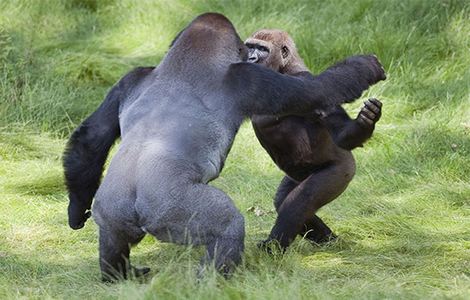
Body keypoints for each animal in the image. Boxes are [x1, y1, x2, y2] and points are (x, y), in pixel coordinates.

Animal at [244, 29, 384, 250]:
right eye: (249, 47)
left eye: (262, 49)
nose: (250, 58)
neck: (284, 68)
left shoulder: (301, 78)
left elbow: (326, 100)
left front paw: (365, 122)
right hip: (296, 176)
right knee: (284, 200)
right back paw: (329, 240)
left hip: (343, 169)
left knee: (299, 202)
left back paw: (273, 249)